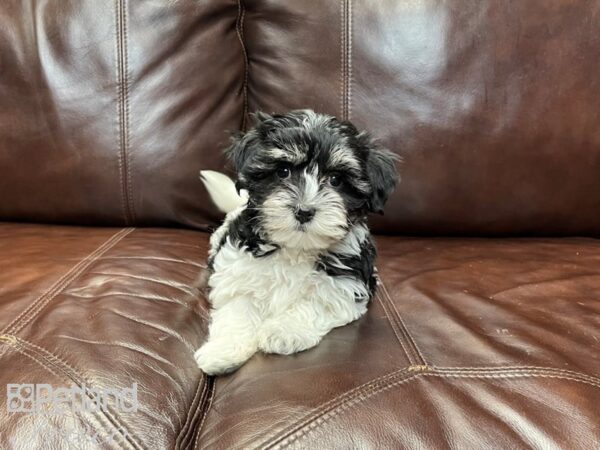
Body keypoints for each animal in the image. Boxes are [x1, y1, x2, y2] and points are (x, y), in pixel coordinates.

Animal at [195, 110, 396, 376]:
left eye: (336, 179)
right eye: (283, 171)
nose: (304, 211)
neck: (296, 247)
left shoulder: (348, 283)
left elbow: (317, 301)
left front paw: (283, 331)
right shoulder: (237, 269)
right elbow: (238, 308)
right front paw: (222, 351)